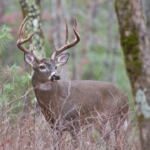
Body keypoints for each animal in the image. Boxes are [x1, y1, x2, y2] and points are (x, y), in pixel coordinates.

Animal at [16, 17, 129, 149]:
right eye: (42, 66)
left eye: (55, 66)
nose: (56, 76)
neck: (55, 104)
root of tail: (126, 98)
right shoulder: (54, 126)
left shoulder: (74, 122)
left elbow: (76, 145)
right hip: (103, 124)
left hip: (117, 118)